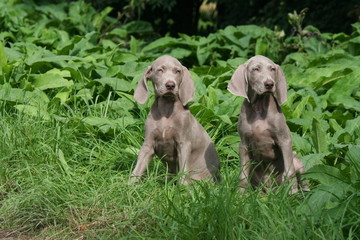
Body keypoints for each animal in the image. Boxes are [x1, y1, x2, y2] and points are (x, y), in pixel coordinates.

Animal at [130, 55, 218, 183]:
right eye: (160, 70)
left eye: (177, 71)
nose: (170, 85)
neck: (166, 109)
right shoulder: (148, 144)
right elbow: (137, 169)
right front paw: (129, 186)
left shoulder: (183, 143)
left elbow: (183, 170)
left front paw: (183, 187)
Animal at [229, 54, 308, 193]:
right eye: (256, 69)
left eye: (272, 69)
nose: (270, 84)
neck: (259, 106)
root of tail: (271, 189)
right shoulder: (243, 144)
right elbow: (242, 176)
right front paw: (240, 195)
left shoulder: (285, 139)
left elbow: (289, 172)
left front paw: (292, 193)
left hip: (297, 161)